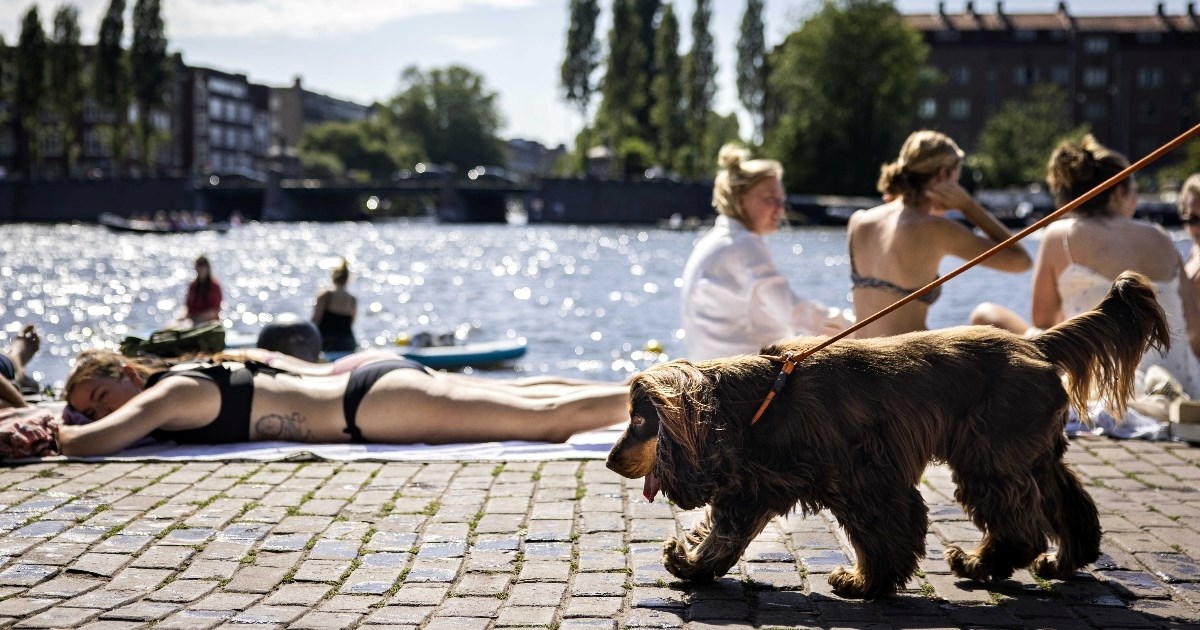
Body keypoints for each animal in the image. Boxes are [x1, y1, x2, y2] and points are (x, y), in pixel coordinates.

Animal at [604, 268, 1166, 595]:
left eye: (639, 420)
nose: (610, 460)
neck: (762, 400)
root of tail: (1037, 344)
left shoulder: (866, 481)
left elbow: (881, 536)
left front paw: (861, 582)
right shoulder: (756, 486)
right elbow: (724, 536)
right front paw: (690, 564)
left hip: (990, 456)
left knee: (1019, 525)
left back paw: (977, 564)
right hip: (1032, 452)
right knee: (1069, 504)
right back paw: (1062, 561)